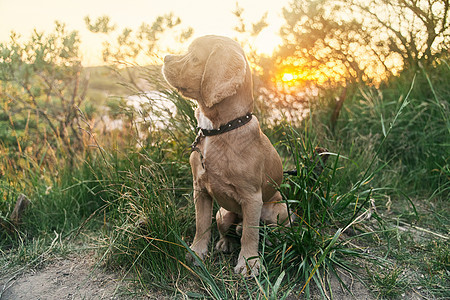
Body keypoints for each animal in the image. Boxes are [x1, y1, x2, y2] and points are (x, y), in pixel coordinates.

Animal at [162, 35, 292, 276]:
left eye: (195, 57)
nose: (165, 58)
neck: (218, 130)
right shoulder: (200, 191)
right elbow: (201, 225)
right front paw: (197, 252)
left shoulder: (252, 198)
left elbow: (250, 233)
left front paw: (249, 263)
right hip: (223, 215)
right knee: (228, 229)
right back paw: (225, 242)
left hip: (278, 211)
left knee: (271, 227)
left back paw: (276, 239)